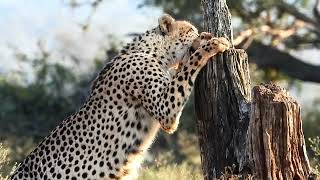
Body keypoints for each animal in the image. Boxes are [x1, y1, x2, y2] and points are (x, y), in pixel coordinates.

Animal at [8, 14, 229, 180]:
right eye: (191, 30)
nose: (203, 33)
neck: (152, 51)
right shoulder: (165, 108)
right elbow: (188, 65)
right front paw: (213, 45)